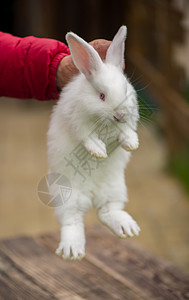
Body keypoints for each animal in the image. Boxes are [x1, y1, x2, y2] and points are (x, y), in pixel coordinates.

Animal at [47, 25, 140, 260]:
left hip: (115, 188)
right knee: (72, 221)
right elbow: (87, 137)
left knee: (107, 212)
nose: (119, 114)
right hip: (67, 198)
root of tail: (91, 195)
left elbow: (127, 130)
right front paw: (99, 151)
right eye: (101, 96)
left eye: (125, 90)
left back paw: (127, 228)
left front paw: (131, 143)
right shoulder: (77, 123)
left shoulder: (129, 120)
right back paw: (72, 251)